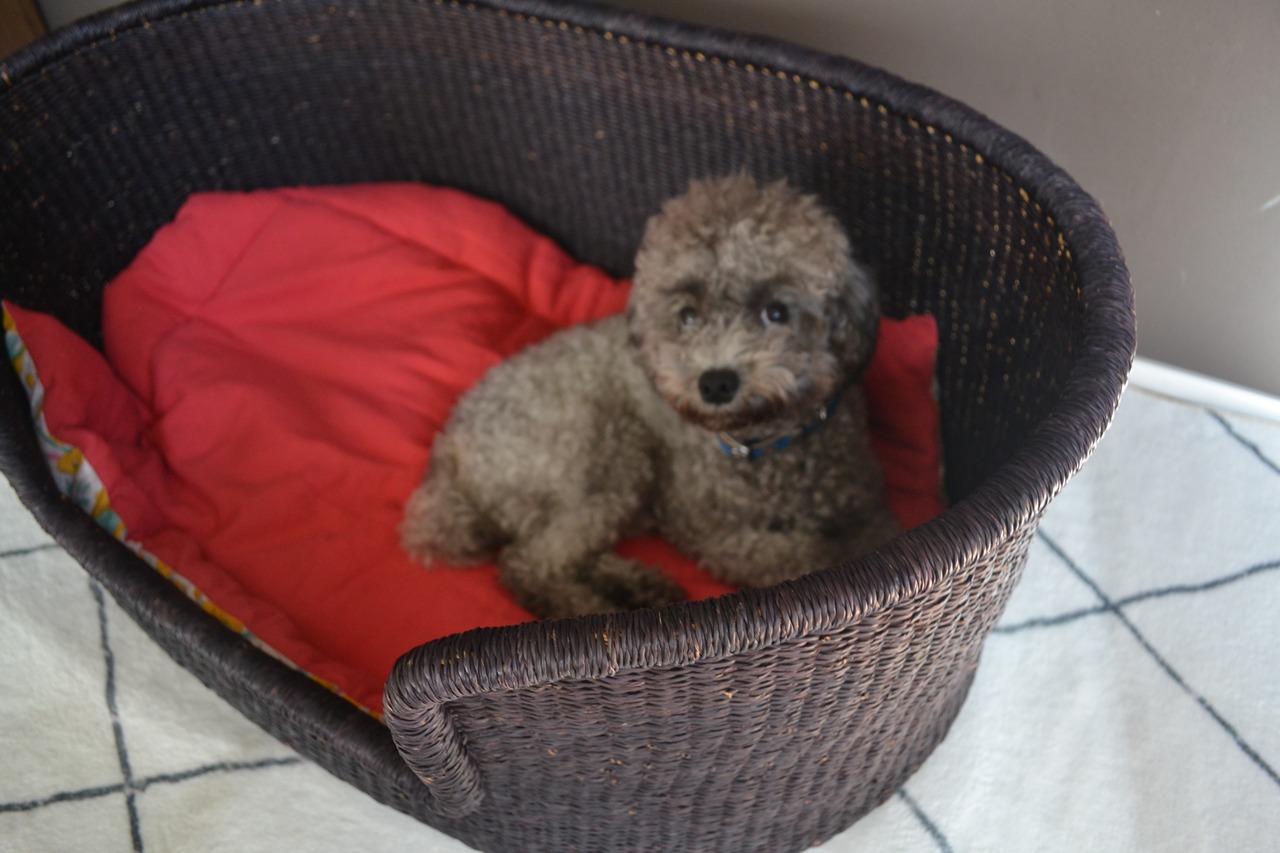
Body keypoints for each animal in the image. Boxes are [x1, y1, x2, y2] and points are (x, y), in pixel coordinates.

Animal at [401, 174, 900, 619]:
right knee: (531, 563)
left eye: (776, 311)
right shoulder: (718, 535)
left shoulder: (866, 508)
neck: (763, 445)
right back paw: (592, 611)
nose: (716, 382)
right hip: (607, 454)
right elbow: (805, 557)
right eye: (688, 316)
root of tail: (448, 452)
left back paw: (638, 586)